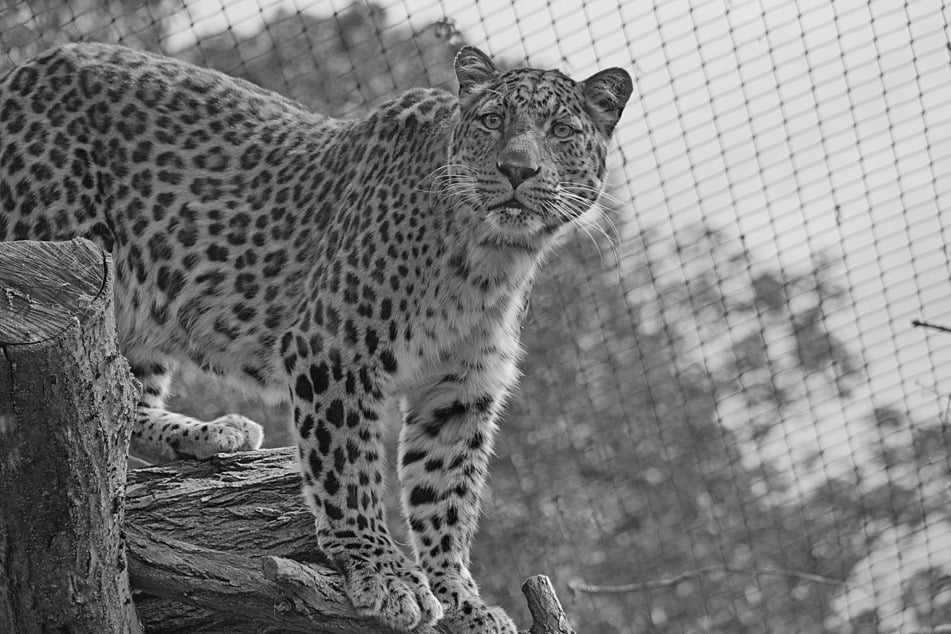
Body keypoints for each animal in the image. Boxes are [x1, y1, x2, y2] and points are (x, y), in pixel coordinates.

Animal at [0, 41, 631, 632]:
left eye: (561, 130)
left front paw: (460, 600)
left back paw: (214, 433)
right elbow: (349, 470)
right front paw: (383, 572)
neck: (493, 257)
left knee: (122, 400)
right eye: (493, 120)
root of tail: (25, 67)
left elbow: (445, 496)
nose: (517, 170)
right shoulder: (336, 349)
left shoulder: (459, 389)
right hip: (66, 246)